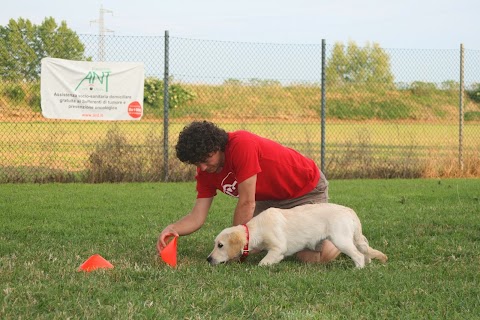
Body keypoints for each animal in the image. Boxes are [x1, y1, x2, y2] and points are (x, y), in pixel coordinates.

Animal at [208, 202, 388, 268]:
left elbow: (262, 263)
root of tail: (350, 211)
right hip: (353, 238)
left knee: (358, 255)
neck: (257, 228)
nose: (208, 259)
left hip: (341, 239)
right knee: (364, 252)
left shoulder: (278, 248)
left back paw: (357, 269)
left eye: (220, 245)